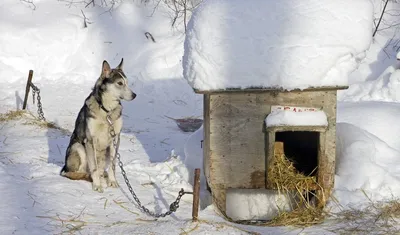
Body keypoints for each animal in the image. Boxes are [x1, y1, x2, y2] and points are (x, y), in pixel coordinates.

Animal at [60, 57, 136, 192]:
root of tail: (65, 167)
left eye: (127, 82)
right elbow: (94, 168)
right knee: (75, 173)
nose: (134, 95)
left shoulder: (115, 139)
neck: (107, 111)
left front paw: (112, 181)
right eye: (120, 83)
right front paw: (97, 185)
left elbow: (113, 165)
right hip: (78, 147)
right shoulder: (90, 140)